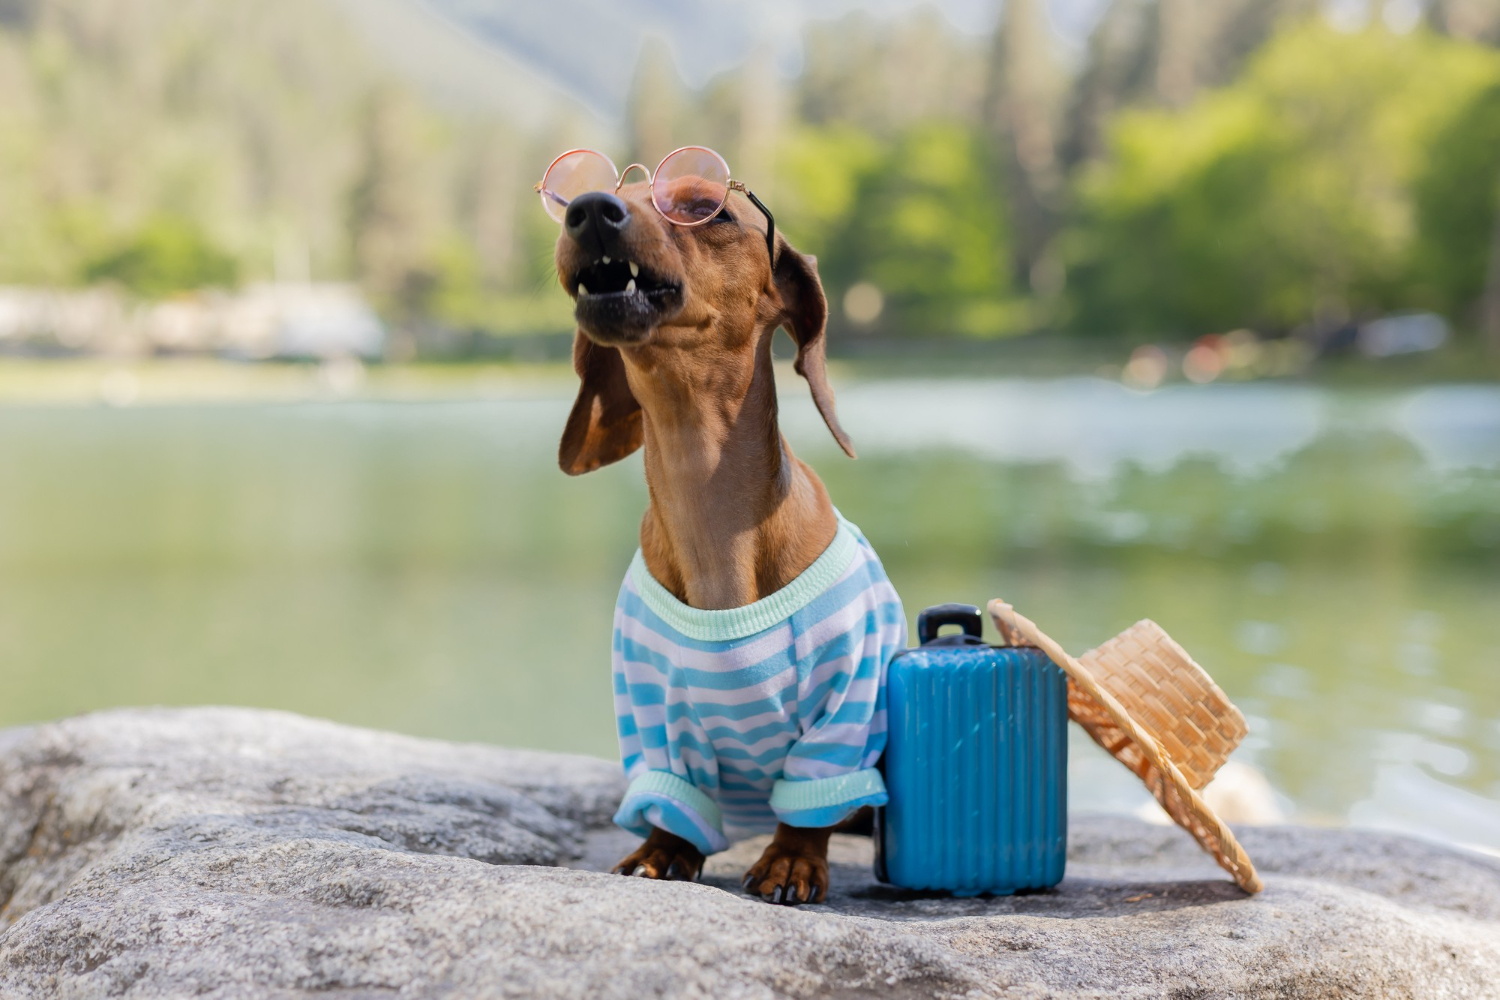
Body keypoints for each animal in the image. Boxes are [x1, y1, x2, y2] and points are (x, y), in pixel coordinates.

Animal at [552, 176, 900, 905]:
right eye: (602, 187)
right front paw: (661, 852)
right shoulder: (653, 713)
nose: (591, 209)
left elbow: (810, 802)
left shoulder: (845, 698)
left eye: (703, 206)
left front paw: (792, 860)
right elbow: (671, 801)